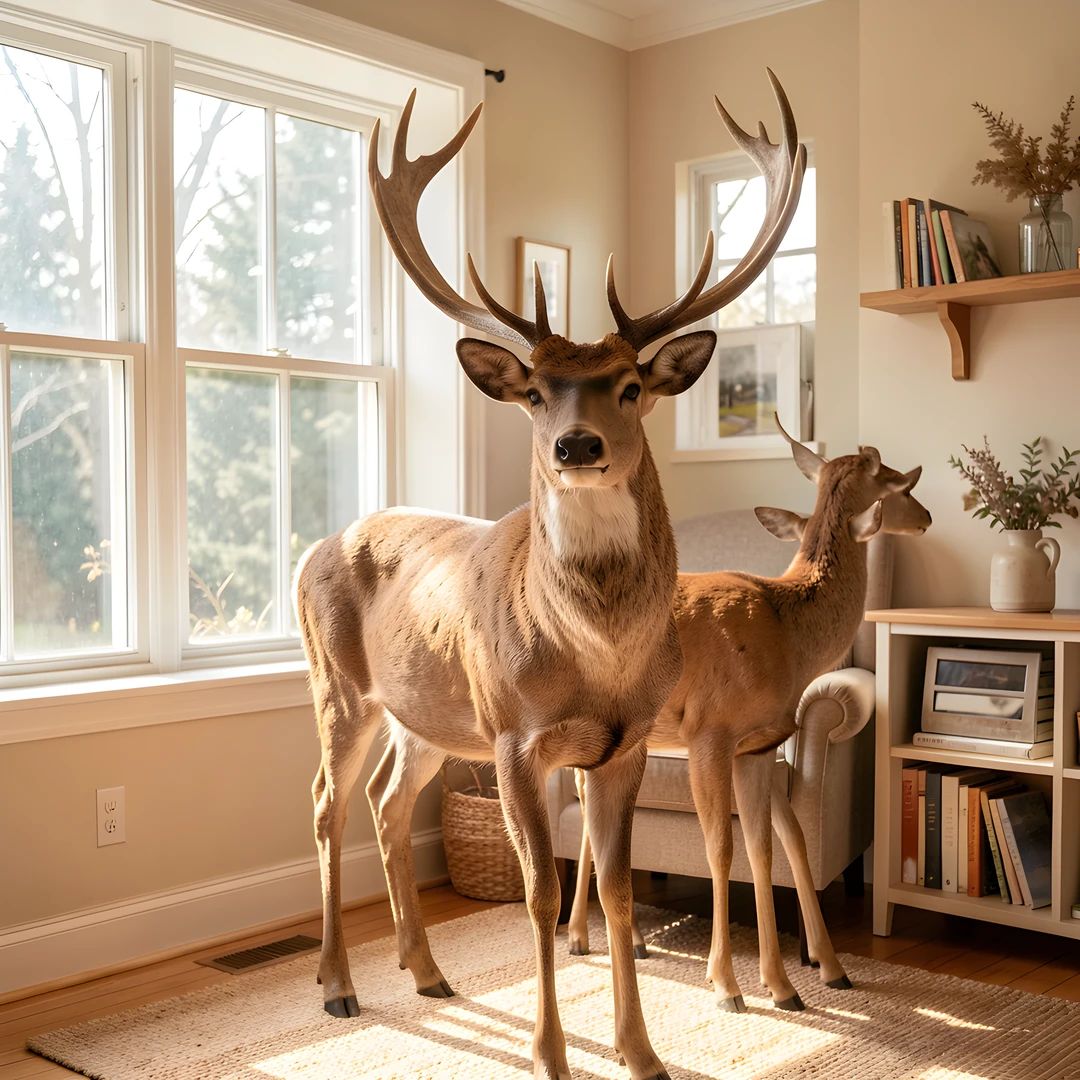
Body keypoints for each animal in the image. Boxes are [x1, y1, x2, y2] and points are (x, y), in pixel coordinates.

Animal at [294, 75, 805, 1080]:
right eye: (534, 391)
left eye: (631, 386)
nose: (576, 445)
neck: (596, 652)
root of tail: (313, 548)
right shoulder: (514, 738)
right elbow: (537, 895)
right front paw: (550, 1053)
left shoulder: (626, 744)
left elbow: (614, 891)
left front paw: (641, 1051)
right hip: (340, 687)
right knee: (327, 806)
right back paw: (337, 986)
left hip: (427, 714)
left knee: (385, 802)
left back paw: (427, 972)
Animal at [565, 427, 931, 1014]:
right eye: (901, 482)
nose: (925, 516)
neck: (786, 631)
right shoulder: (709, 732)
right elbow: (721, 849)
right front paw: (727, 985)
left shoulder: (757, 745)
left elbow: (766, 849)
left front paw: (788, 983)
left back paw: (609, 938)